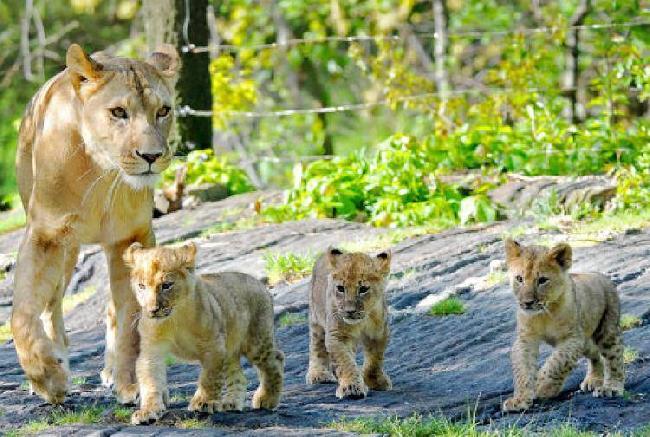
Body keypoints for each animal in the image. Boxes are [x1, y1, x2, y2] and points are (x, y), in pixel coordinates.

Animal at [12, 43, 180, 402]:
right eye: (118, 112)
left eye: (163, 111)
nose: (151, 156)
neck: (103, 175)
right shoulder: (45, 235)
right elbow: (22, 313)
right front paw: (47, 377)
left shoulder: (132, 237)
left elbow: (131, 318)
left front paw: (131, 383)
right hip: (67, 252)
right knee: (51, 306)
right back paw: (56, 361)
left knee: (113, 310)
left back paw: (110, 371)